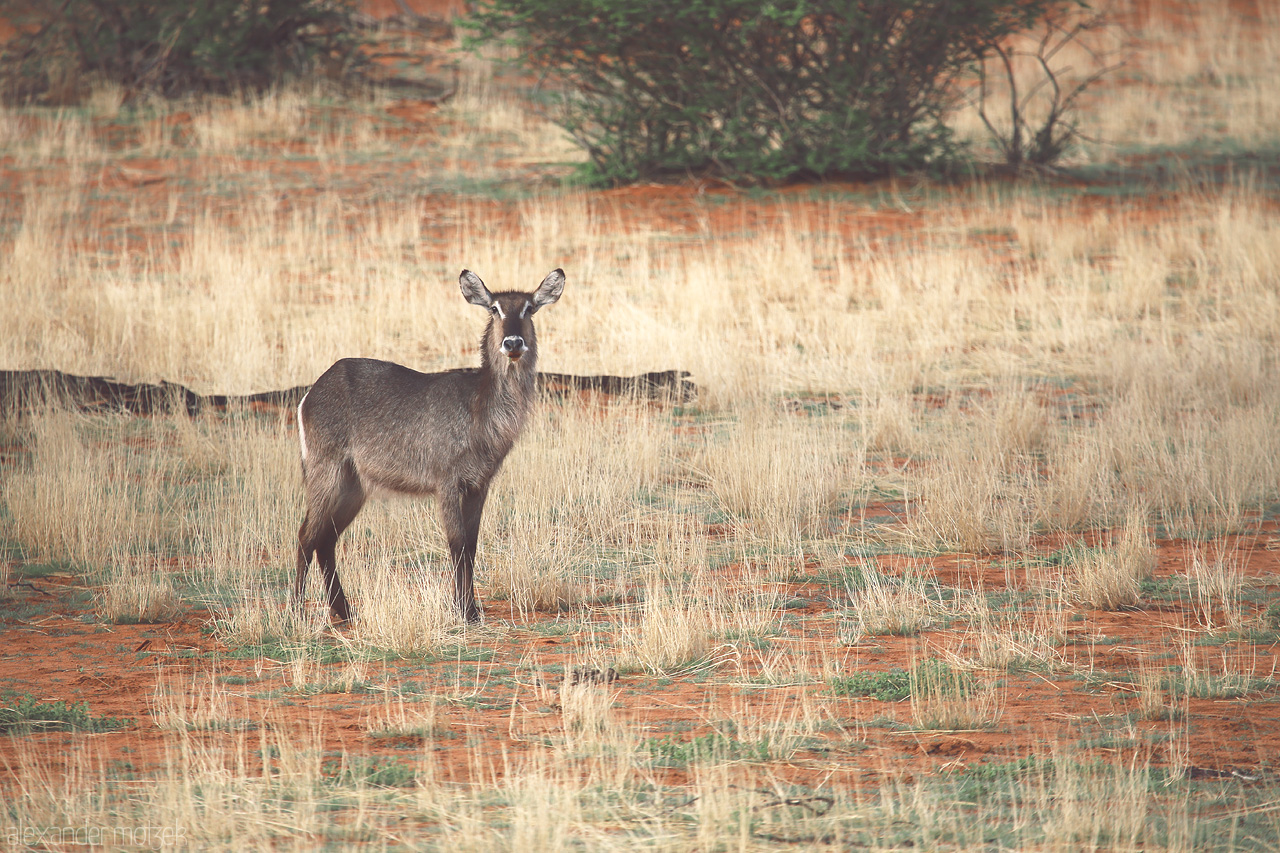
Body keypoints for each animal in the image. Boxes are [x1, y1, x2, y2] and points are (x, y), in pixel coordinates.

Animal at [294, 268, 565, 624]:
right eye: (494, 309)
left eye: (529, 308)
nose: (513, 343)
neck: (479, 411)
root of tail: (309, 394)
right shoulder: (446, 480)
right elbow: (457, 543)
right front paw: (465, 611)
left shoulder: (479, 484)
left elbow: (471, 545)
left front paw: (468, 607)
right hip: (325, 470)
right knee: (306, 536)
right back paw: (296, 610)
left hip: (355, 485)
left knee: (325, 540)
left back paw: (345, 611)